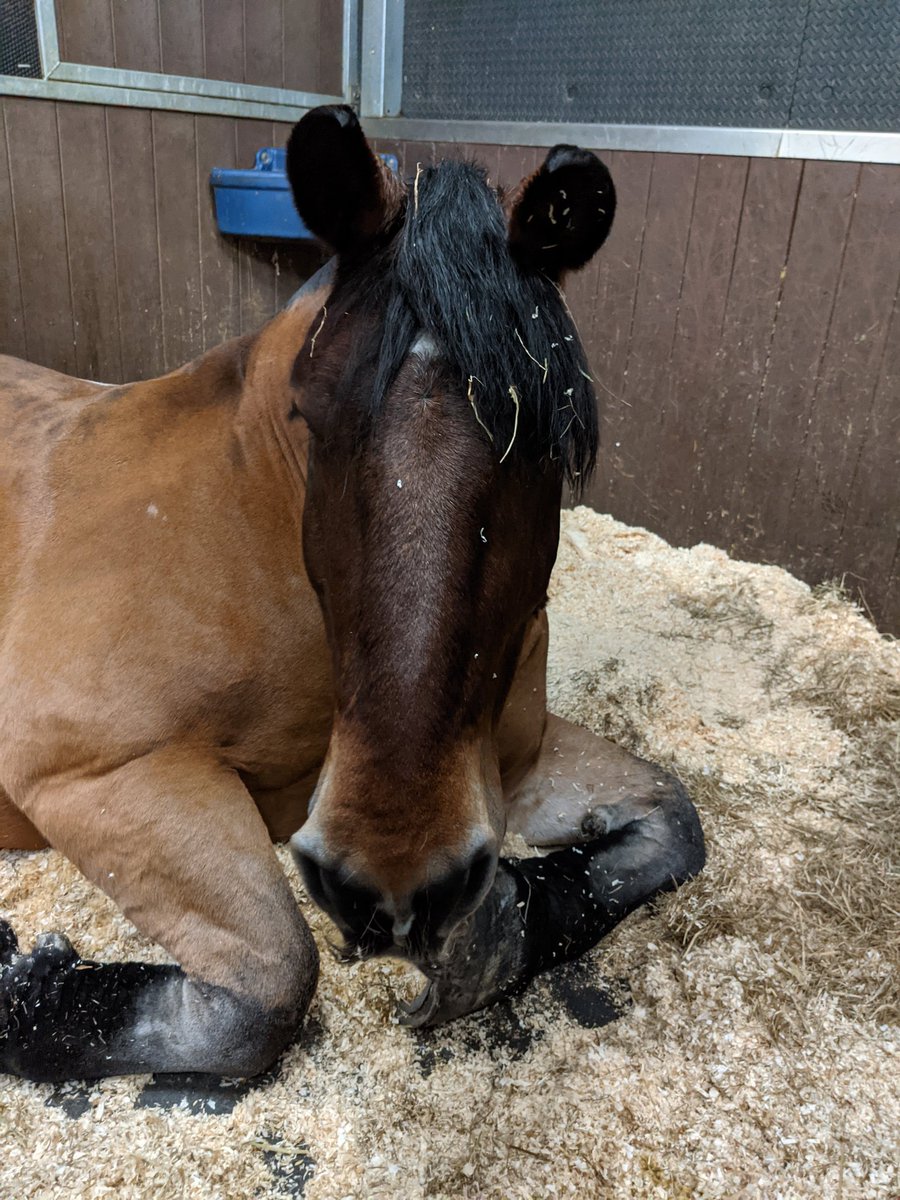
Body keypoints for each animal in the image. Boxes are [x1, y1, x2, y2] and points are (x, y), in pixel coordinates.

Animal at [0, 105, 704, 1082]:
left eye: (547, 440)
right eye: (309, 414)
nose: (390, 878)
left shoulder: (514, 754)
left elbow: (668, 823)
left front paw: (501, 923)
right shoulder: (95, 774)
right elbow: (267, 985)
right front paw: (25, 988)